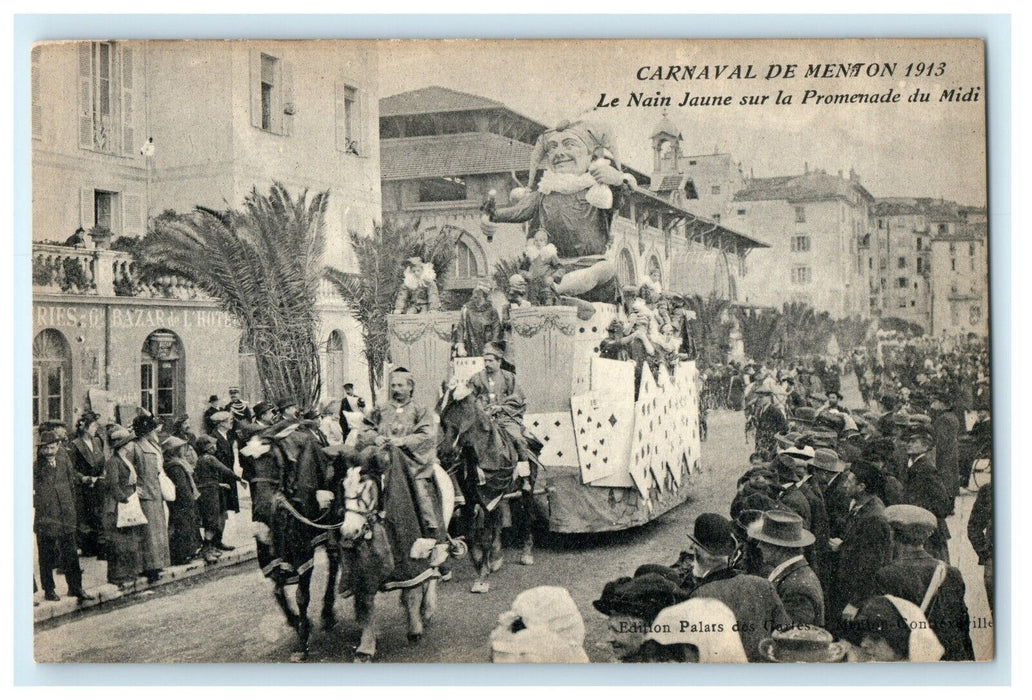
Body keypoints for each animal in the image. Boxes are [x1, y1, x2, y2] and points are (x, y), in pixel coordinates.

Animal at [437, 386, 549, 594]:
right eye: (443, 420)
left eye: (465, 417)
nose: (445, 453)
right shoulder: (474, 501)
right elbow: (472, 536)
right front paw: (482, 564)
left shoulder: (490, 497)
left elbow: (486, 537)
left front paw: (482, 578)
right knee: (498, 520)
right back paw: (495, 559)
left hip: (527, 489)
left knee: (527, 516)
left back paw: (526, 553)